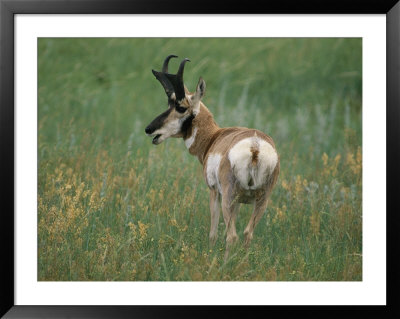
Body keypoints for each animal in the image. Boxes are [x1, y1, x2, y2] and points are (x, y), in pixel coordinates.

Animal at [145, 55, 280, 260]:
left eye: (180, 107)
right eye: (169, 104)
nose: (149, 129)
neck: (214, 137)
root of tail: (255, 146)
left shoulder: (214, 192)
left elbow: (213, 233)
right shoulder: (238, 202)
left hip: (228, 198)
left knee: (232, 236)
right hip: (261, 200)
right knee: (247, 233)